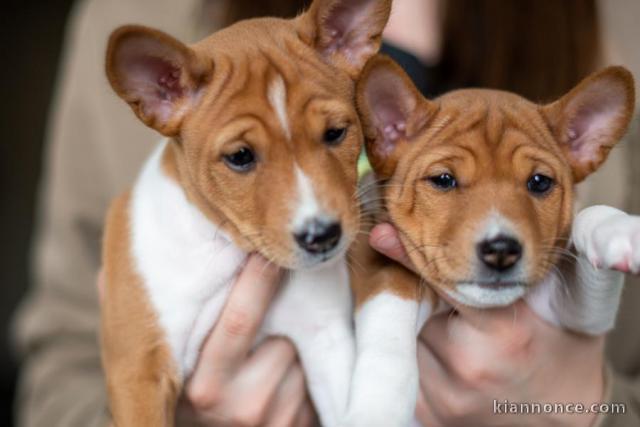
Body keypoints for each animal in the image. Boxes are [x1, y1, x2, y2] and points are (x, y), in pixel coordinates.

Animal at [100, 1, 392, 426]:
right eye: (240, 157)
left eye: (336, 133)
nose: (322, 235)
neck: (229, 252)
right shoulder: (140, 370)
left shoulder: (325, 339)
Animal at [350, 55, 640, 426]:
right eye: (443, 180)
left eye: (539, 182)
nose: (501, 251)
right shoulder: (380, 262)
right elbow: (390, 325)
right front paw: (376, 408)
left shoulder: (578, 318)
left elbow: (590, 225)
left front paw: (619, 229)